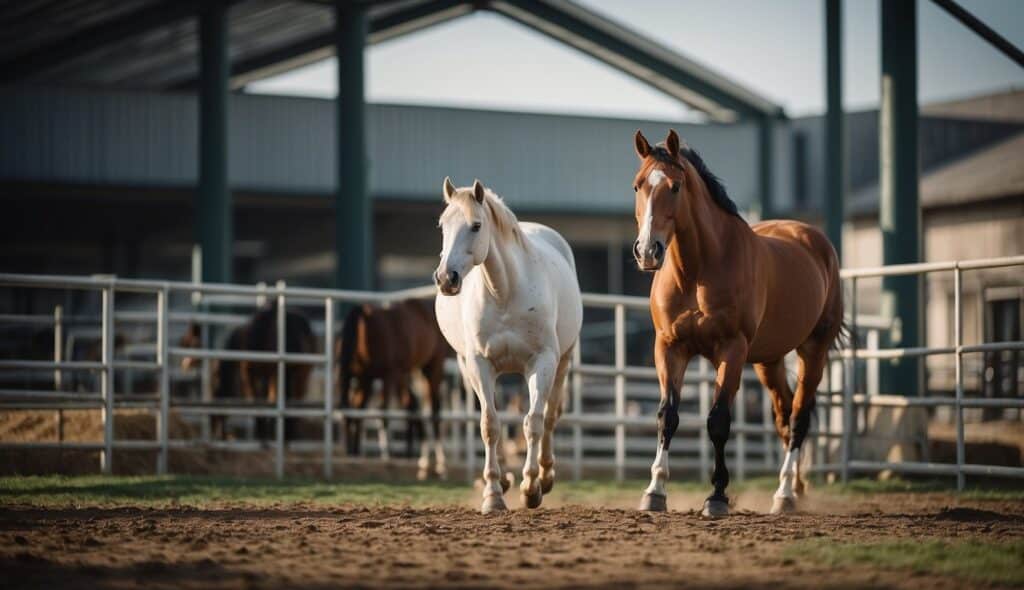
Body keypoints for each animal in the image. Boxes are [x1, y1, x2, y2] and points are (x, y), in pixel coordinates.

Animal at [335, 299, 448, 479]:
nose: (348, 455)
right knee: (416, 407)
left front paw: (387, 457)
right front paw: (356, 454)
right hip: (412, 373)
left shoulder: (387, 376)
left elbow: (382, 412)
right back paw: (423, 464)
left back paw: (440, 466)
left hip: (432, 368)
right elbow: (357, 410)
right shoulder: (364, 378)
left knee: (434, 411)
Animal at [434, 177, 585, 514]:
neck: (505, 291)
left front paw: (531, 487)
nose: (446, 278)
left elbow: (534, 422)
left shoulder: (543, 361)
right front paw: (493, 493)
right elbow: (490, 424)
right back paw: (503, 479)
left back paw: (545, 475)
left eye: (476, 225)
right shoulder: (479, 363)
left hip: (563, 362)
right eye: (442, 225)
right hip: (468, 366)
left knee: (550, 416)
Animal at [626, 130, 843, 516]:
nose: (647, 251)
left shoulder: (732, 349)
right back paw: (794, 491)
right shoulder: (669, 347)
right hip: (769, 361)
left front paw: (717, 496)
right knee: (784, 416)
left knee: (798, 418)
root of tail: (815, 240)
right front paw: (655, 491)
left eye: (675, 186)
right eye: (638, 185)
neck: (698, 271)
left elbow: (718, 421)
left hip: (812, 351)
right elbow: (667, 415)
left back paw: (784, 495)